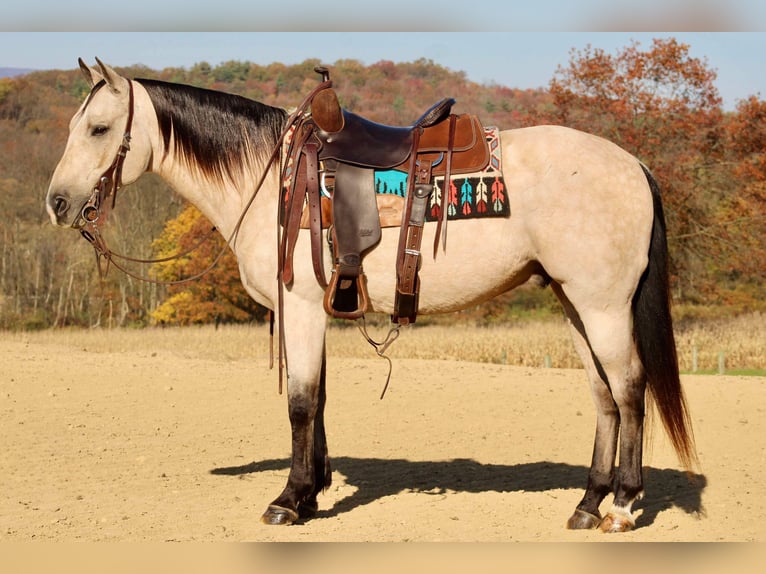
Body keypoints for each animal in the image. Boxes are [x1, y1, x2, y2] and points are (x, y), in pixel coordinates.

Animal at [45, 59, 700, 536]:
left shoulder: (301, 307)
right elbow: (319, 400)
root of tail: (634, 165)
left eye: (99, 128)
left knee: (629, 389)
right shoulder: (317, 311)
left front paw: (288, 500)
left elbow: (300, 403)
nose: (57, 202)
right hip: (574, 304)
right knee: (604, 397)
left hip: (602, 306)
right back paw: (587, 504)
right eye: (74, 127)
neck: (271, 177)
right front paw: (312, 492)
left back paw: (622, 507)